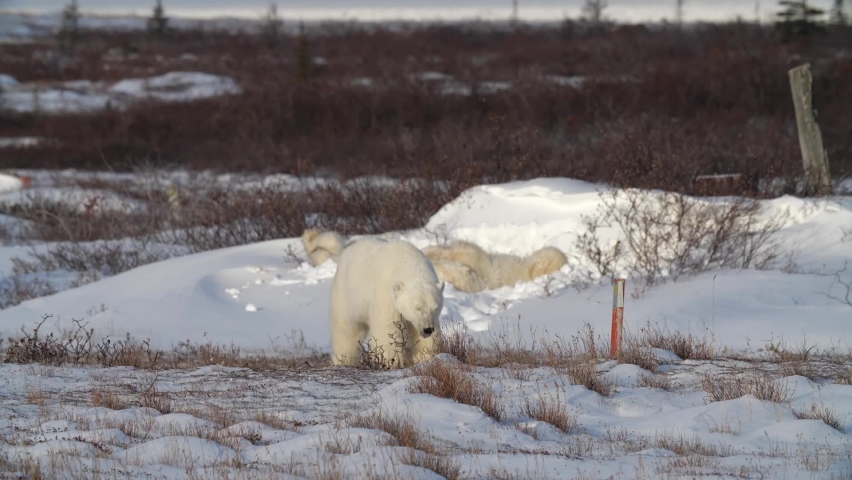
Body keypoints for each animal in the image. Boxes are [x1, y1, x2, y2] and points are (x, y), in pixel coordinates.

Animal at [329, 237, 445, 368]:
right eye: (417, 308)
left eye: (435, 308)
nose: (428, 329)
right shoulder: (385, 291)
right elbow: (387, 326)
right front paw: (392, 360)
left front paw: (426, 356)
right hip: (347, 296)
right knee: (346, 329)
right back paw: (344, 360)